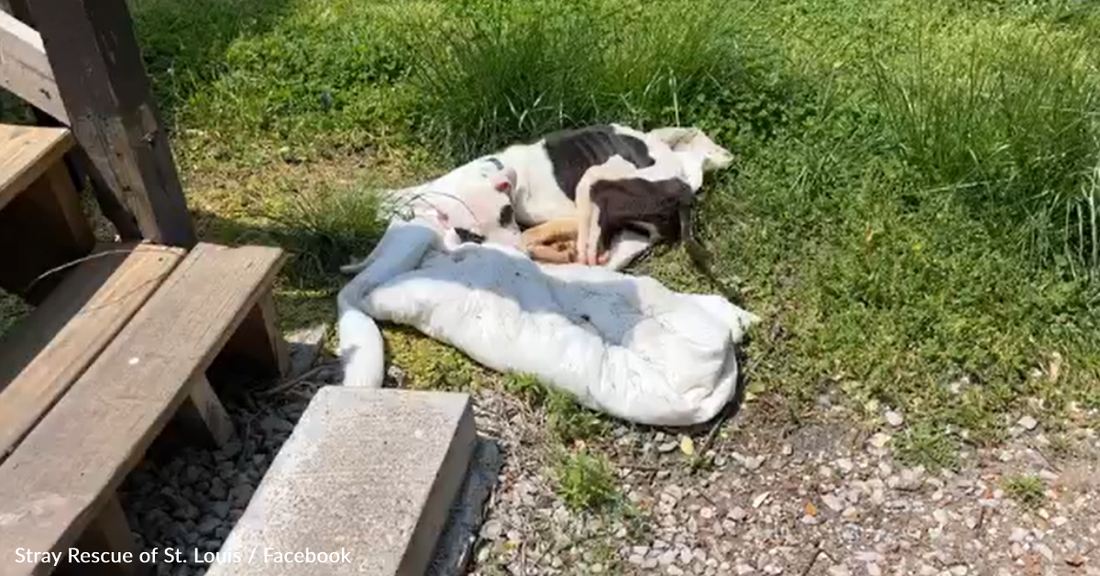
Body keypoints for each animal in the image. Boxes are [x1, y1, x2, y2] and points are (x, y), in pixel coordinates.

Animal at [382, 123, 734, 270]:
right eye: (474, 236)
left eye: (505, 215)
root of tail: (685, 189)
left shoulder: (564, 217)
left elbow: (530, 237)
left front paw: (549, 249)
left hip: (598, 178)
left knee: (593, 245)